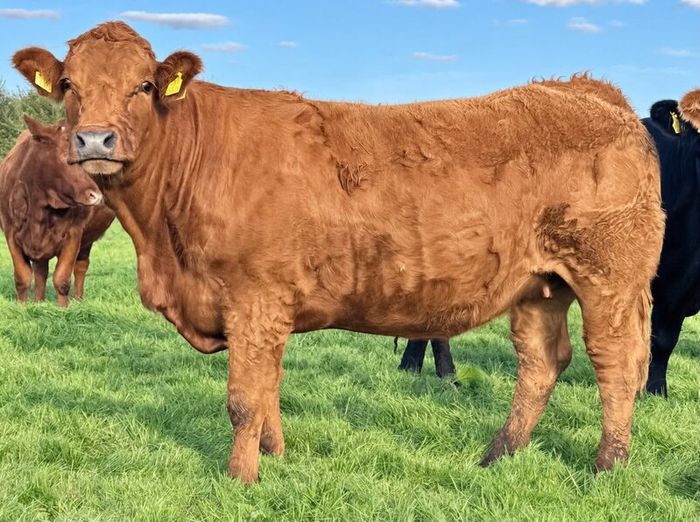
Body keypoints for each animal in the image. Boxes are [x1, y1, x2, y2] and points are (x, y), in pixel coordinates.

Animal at [0, 116, 115, 306]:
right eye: (65, 158)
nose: (96, 195)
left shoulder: (74, 234)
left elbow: (62, 278)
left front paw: (63, 308)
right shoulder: (10, 233)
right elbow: (23, 277)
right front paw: (23, 306)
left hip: (88, 237)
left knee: (81, 266)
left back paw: (78, 299)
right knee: (41, 270)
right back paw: (38, 301)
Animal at [12, 21, 665, 482]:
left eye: (144, 85)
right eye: (68, 86)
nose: (94, 140)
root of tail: (585, 89)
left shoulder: (255, 299)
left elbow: (243, 399)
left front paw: (239, 478)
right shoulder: (264, 311)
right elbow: (268, 390)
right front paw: (275, 458)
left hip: (609, 279)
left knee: (615, 362)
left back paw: (608, 466)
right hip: (539, 286)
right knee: (542, 361)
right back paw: (498, 456)